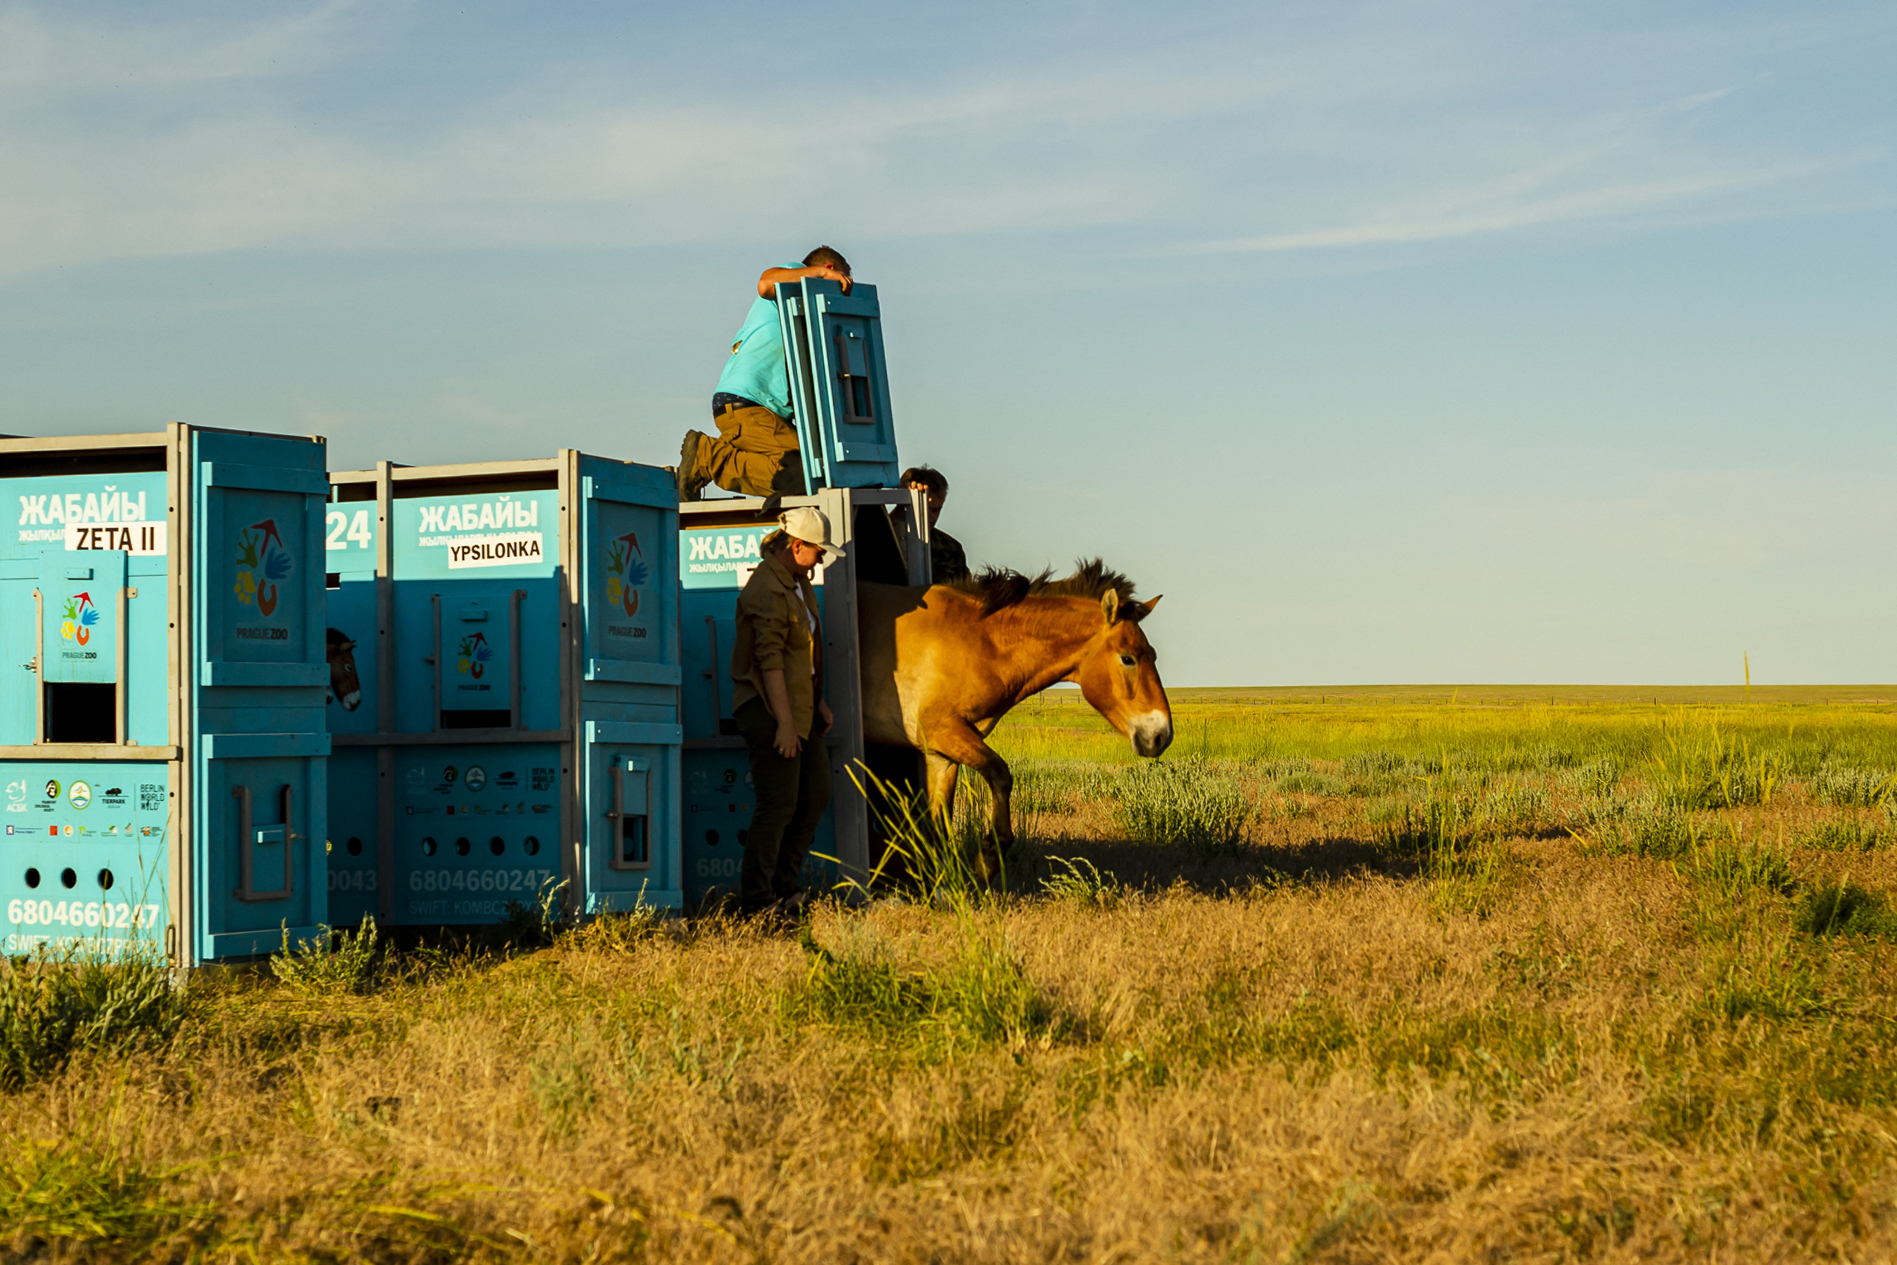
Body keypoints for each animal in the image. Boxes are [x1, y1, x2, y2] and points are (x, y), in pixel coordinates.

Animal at [865, 565, 1168, 880]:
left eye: (1153, 654)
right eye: (1128, 658)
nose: (1161, 734)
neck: (976, 640)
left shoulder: (940, 755)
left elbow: (938, 828)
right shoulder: (944, 731)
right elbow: (1000, 774)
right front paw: (988, 859)